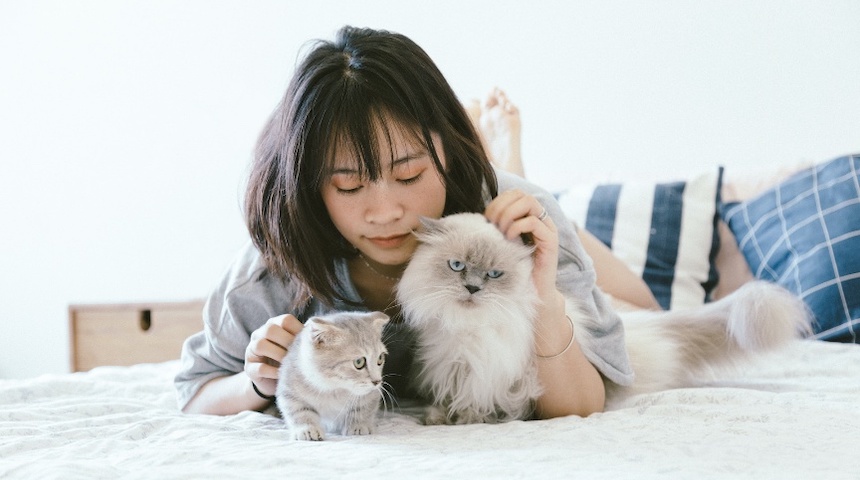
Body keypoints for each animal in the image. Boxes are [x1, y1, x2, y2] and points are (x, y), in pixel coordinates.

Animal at [276, 310, 390, 440]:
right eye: (359, 362)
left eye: (380, 358)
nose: (377, 381)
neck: (334, 388)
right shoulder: (289, 387)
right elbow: (299, 411)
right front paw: (308, 429)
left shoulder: (372, 394)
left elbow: (363, 408)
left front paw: (358, 426)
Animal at [398, 213, 812, 424]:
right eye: (456, 266)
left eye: (494, 275)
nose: (472, 289)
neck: (471, 333)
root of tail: (646, 324)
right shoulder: (452, 365)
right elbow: (453, 396)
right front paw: (442, 416)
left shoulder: (499, 373)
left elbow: (489, 401)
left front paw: (475, 418)